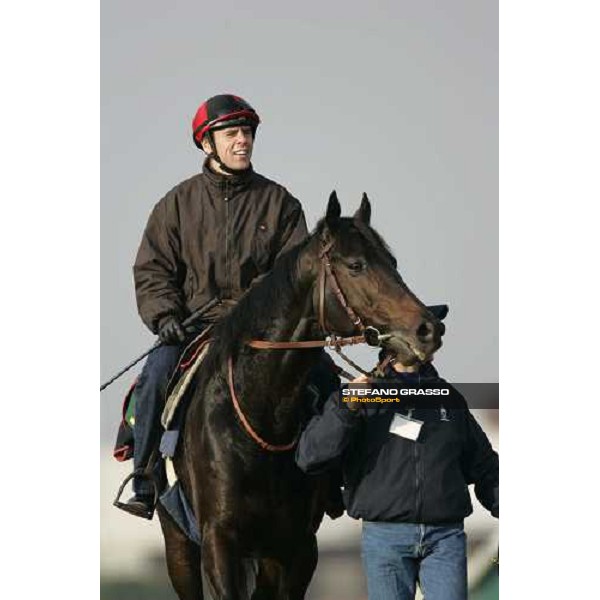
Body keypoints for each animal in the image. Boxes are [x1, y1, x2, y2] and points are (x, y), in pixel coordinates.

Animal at [157, 192, 442, 600]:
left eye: (393, 263)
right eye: (356, 265)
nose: (428, 329)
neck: (259, 418)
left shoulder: (298, 547)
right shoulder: (218, 541)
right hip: (179, 545)